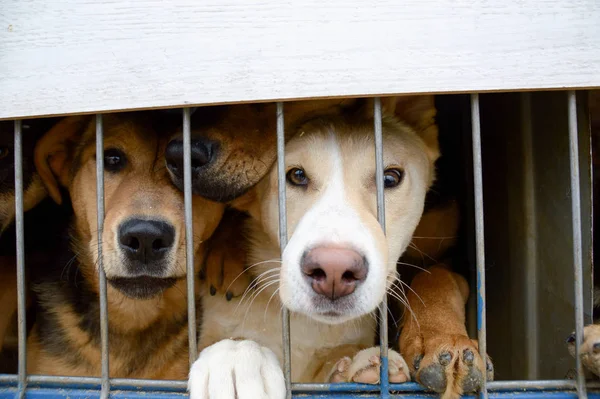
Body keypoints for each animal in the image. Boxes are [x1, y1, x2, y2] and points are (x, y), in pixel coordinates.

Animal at [188, 97, 450, 399]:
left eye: (390, 179)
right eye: (297, 175)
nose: (334, 270)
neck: (303, 325)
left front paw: (358, 367)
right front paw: (236, 357)